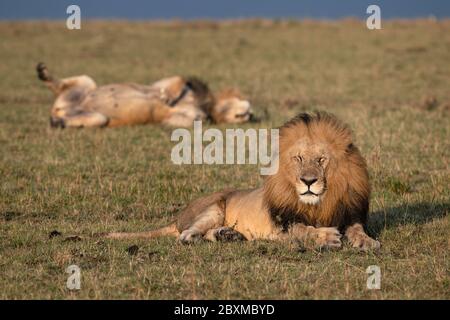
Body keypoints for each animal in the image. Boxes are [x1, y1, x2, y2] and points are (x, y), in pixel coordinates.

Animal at [36, 62, 253, 127]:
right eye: (243, 101)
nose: (250, 114)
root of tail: (58, 108)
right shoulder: (161, 83)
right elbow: (176, 81)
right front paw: (167, 97)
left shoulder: (176, 118)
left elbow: (188, 119)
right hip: (87, 82)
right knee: (61, 85)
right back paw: (43, 73)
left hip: (98, 118)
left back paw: (57, 122)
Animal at [107, 111, 382, 251]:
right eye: (299, 158)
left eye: (322, 159)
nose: (308, 181)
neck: (320, 203)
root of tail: (177, 218)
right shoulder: (282, 224)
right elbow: (303, 229)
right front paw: (327, 237)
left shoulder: (349, 213)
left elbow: (357, 229)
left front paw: (368, 242)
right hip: (214, 207)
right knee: (187, 234)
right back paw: (200, 237)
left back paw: (229, 235)